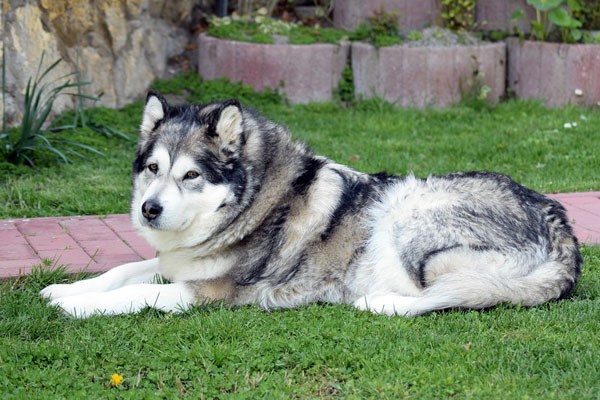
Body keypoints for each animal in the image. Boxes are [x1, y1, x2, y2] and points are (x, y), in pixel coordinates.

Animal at [39, 91, 584, 318]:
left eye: (191, 175)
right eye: (153, 168)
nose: (148, 210)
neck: (252, 205)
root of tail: (561, 226)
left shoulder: (213, 291)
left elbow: (136, 293)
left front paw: (79, 307)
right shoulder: (177, 263)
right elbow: (124, 270)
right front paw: (65, 289)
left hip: (409, 217)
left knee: (452, 295)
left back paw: (377, 302)